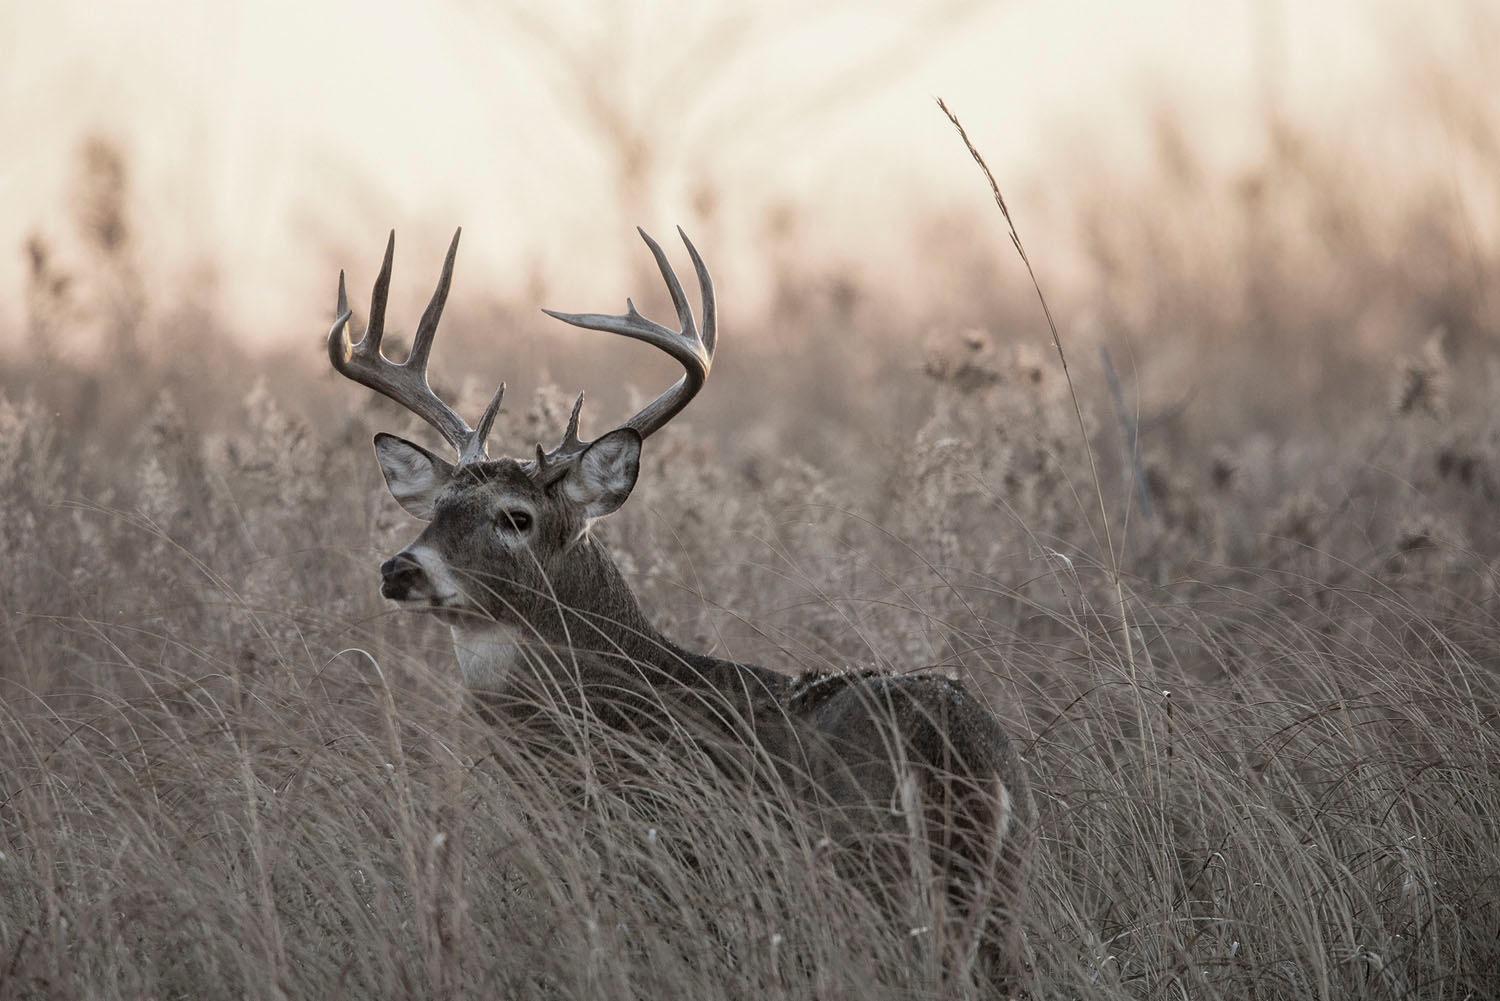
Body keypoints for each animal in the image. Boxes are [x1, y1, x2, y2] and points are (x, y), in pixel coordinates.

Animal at [327, 227, 1033, 990]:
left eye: (514, 517)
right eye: (436, 509)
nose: (399, 568)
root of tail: (947, 753)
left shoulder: (666, 863)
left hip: (870, 876)